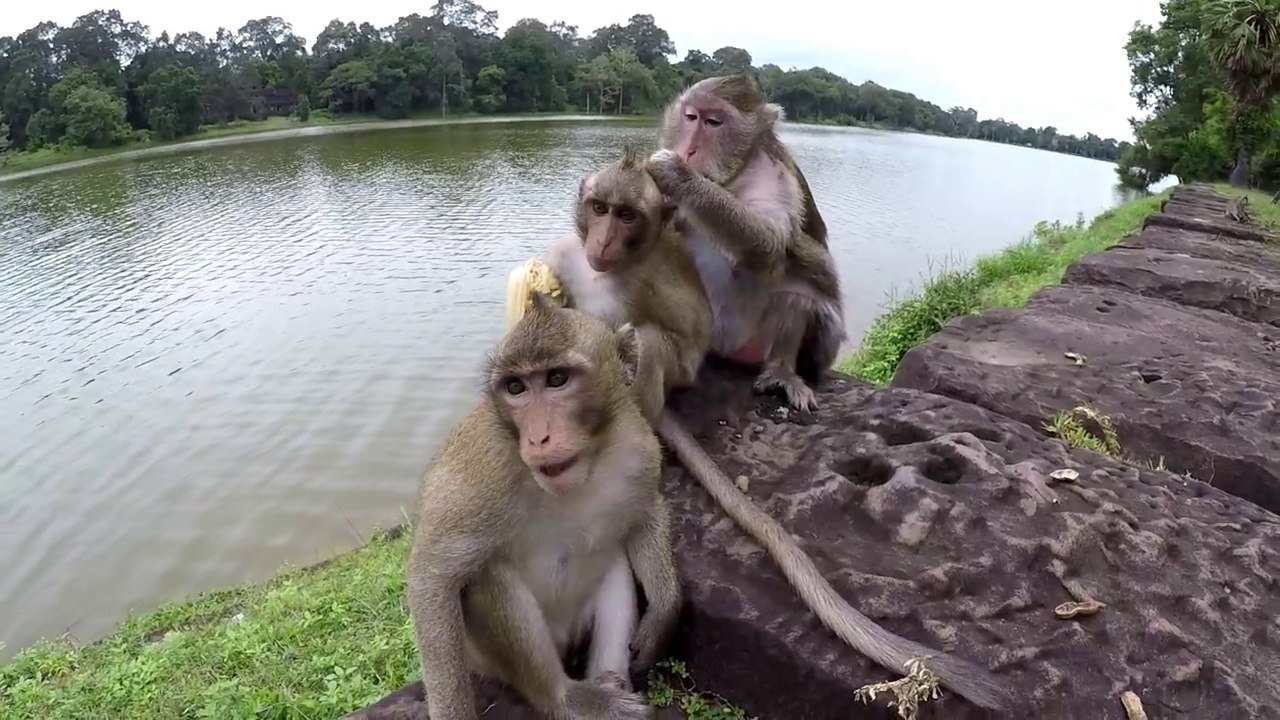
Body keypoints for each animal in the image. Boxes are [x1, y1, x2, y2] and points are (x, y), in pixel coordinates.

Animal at [406, 295, 682, 720]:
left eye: (556, 379)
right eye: (516, 387)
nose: (538, 438)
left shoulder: (638, 443)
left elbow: (646, 513)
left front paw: (664, 613)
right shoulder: (484, 470)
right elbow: (432, 578)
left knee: (614, 562)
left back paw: (611, 684)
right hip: (488, 656)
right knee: (486, 575)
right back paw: (567, 698)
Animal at [521, 151, 1015, 714]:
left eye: (627, 215)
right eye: (599, 208)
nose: (602, 240)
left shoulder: (654, 280)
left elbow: (669, 333)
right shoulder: (568, 255)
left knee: (649, 346)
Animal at [644, 73, 847, 413]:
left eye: (713, 122)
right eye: (691, 117)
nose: (690, 150)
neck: (731, 177)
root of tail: (728, 350)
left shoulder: (774, 172)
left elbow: (769, 244)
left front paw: (678, 175)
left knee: (800, 289)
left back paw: (782, 371)